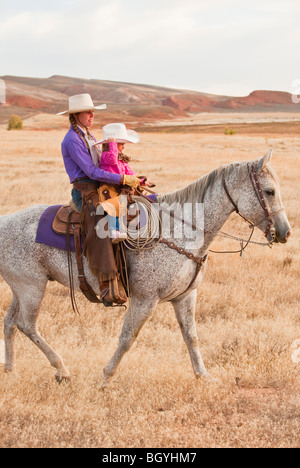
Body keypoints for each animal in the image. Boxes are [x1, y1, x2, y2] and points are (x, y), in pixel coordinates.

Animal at [0, 152, 290, 382]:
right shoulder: (145, 299)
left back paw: (11, 369)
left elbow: (191, 336)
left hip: (21, 288)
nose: (285, 232)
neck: (179, 230)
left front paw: (203, 376)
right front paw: (106, 377)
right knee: (27, 325)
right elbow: (128, 337)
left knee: (10, 322)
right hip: (32, 288)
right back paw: (61, 368)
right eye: (269, 191)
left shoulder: (186, 296)